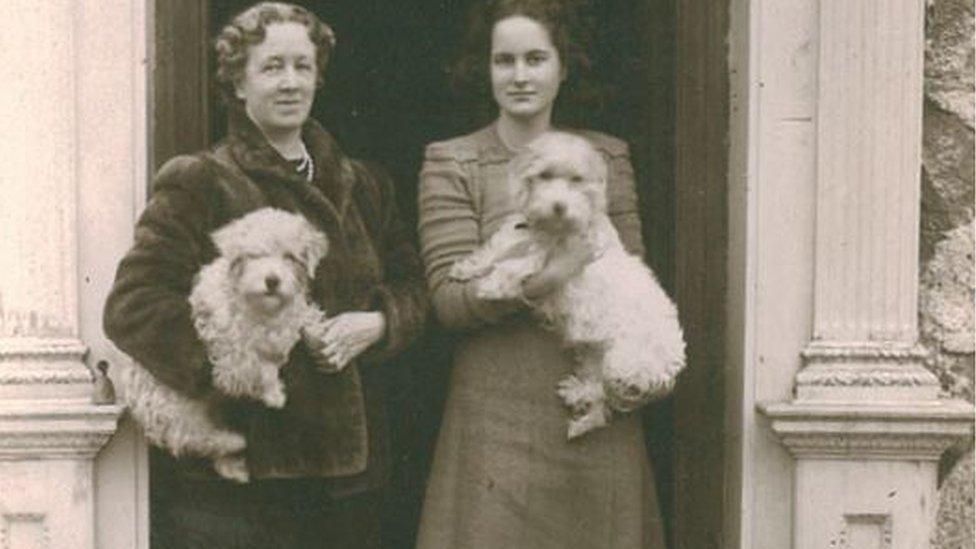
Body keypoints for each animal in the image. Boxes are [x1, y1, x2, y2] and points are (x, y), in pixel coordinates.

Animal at [118, 206, 330, 480]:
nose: (272, 281)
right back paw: (233, 444)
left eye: (290, 257)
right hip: (182, 418)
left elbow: (297, 317)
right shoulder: (229, 341)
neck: (260, 308)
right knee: (201, 441)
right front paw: (271, 391)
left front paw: (317, 328)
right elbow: (253, 364)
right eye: (254, 255)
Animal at [450, 131, 688, 438]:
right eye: (544, 175)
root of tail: (673, 361)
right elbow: (496, 249)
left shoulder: (546, 258)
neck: (547, 228)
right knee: (598, 396)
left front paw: (491, 286)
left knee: (604, 396)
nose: (559, 206)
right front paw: (467, 268)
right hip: (594, 354)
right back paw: (576, 398)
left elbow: (514, 266)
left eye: (577, 180)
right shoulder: (517, 235)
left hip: (621, 364)